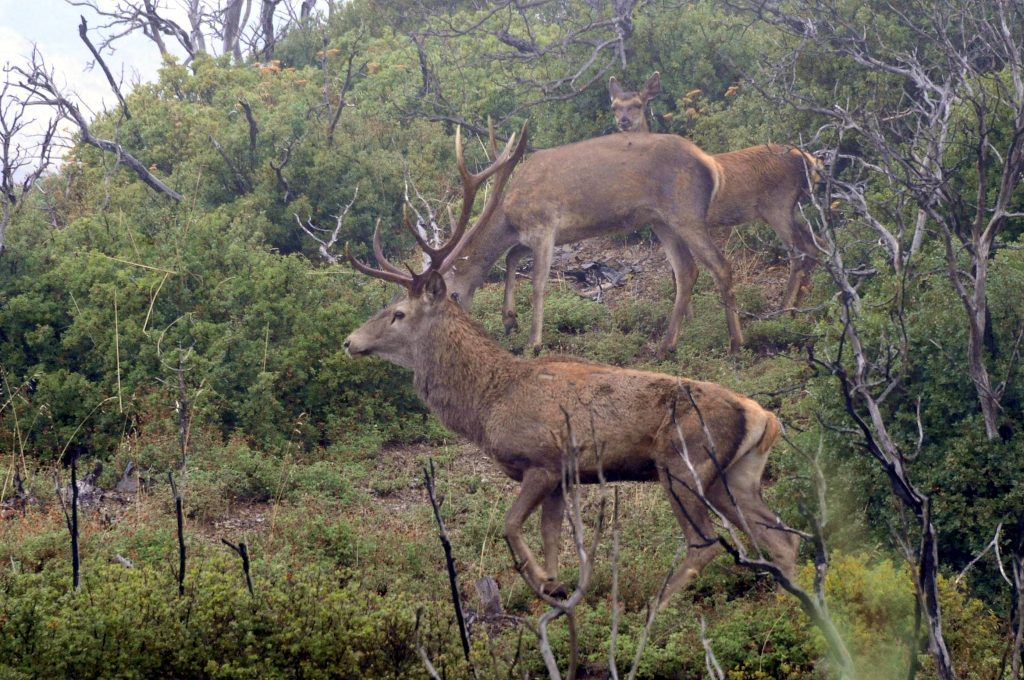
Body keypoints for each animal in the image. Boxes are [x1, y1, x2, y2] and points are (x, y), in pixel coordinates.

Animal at [344, 124, 798, 606]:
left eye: (398, 313)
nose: (350, 341)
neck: (489, 403)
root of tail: (764, 418)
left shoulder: (544, 460)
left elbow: (510, 525)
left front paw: (542, 581)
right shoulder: (563, 479)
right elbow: (551, 535)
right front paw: (558, 584)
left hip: (683, 467)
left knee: (705, 543)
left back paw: (655, 608)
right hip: (735, 477)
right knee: (782, 539)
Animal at [610, 75, 819, 315]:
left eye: (637, 104)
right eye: (614, 106)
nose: (623, 121)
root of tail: (808, 158)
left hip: (778, 205)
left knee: (799, 253)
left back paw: (784, 309)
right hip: (791, 208)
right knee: (815, 244)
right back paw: (797, 307)